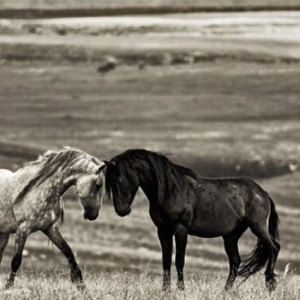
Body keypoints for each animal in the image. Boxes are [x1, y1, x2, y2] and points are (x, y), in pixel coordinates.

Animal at [101, 149, 282, 292]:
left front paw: (181, 289)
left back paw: (270, 283)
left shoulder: (181, 229)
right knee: (235, 261)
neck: (169, 190)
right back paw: (226, 291)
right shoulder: (163, 230)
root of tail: (262, 193)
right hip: (231, 236)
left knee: (274, 247)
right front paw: (165, 290)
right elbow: (166, 261)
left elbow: (179, 260)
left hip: (257, 226)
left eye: (118, 180)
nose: (122, 211)